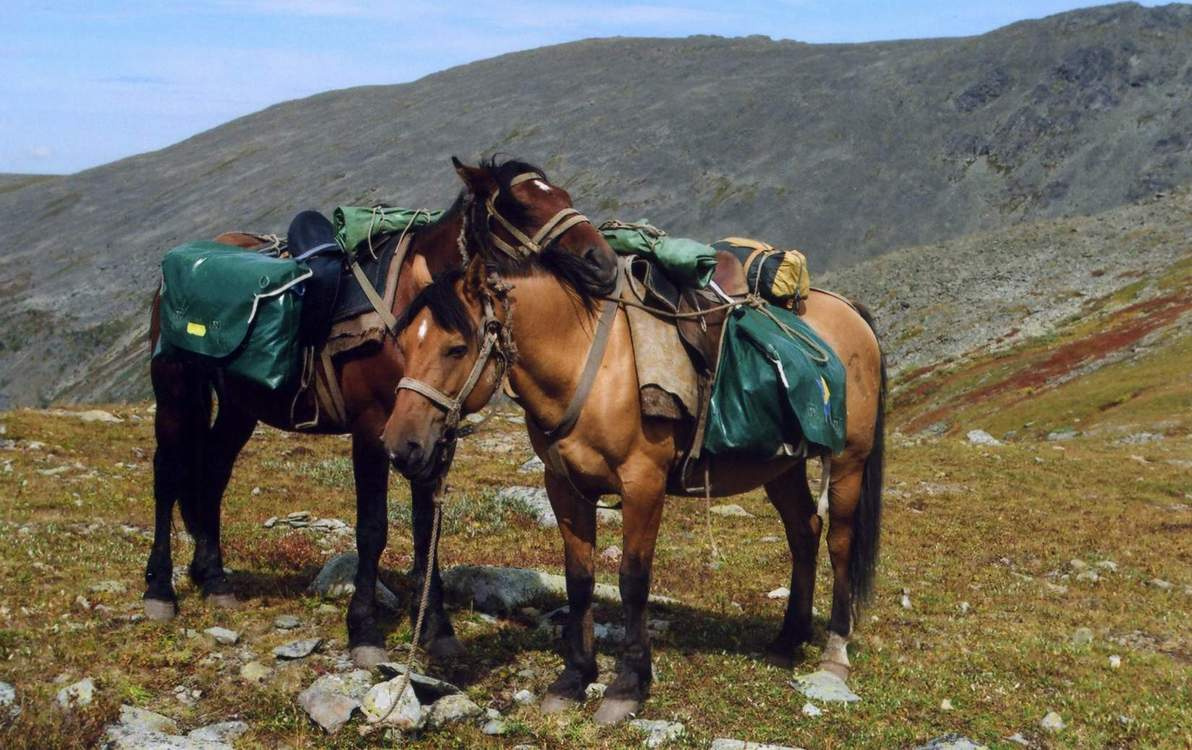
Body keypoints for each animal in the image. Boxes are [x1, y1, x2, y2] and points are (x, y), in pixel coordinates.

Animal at [142, 156, 619, 670]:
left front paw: (436, 628)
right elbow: (373, 528)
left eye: (564, 196)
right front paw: (365, 629)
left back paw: (213, 577)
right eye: (522, 207)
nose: (605, 263)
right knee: (168, 474)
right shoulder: (373, 430)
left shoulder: (433, 438)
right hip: (175, 389)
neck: (411, 312)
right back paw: (160, 589)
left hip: (239, 407)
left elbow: (426, 529)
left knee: (213, 473)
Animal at [381, 188, 885, 724]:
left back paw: (834, 653)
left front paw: (627, 685)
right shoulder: (564, 486)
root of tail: (849, 311)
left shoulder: (643, 483)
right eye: (405, 344)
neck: (589, 360)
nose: (400, 445)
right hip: (781, 466)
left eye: (456, 347)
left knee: (839, 542)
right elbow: (579, 578)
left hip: (849, 462)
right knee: (803, 531)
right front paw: (574, 677)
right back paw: (789, 638)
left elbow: (632, 580)